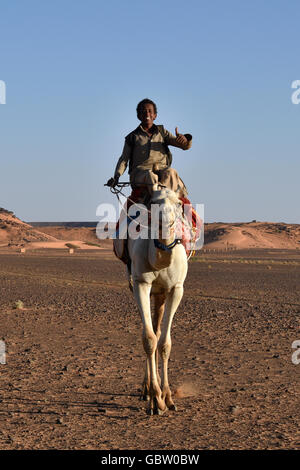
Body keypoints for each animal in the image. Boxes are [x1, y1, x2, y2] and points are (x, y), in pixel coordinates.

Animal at [126, 185, 188, 414]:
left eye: (178, 203)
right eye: (152, 202)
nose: (165, 220)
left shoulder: (176, 289)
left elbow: (165, 344)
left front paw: (168, 397)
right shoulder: (141, 284)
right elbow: (149, 339)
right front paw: (155, 399)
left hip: (161, 294)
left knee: (158, 328)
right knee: (151, 330)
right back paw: (146, 389)